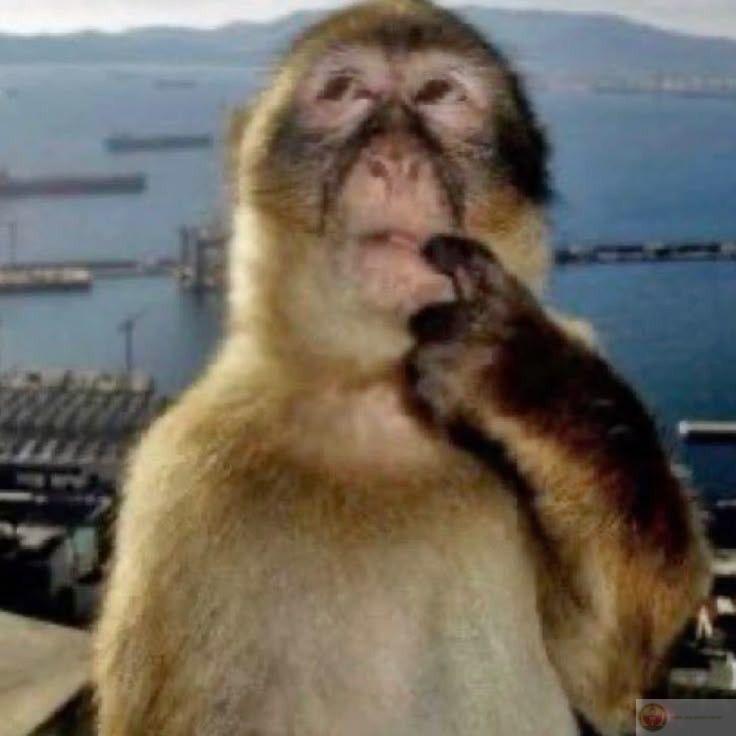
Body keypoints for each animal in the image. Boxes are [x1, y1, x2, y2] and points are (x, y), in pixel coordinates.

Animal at [93, 2, 711, 735]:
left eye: (440, 94)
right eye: (344, 91)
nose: (393, 160)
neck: (375, 401)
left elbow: (611, 666)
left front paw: (522, 375)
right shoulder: (179, 484)